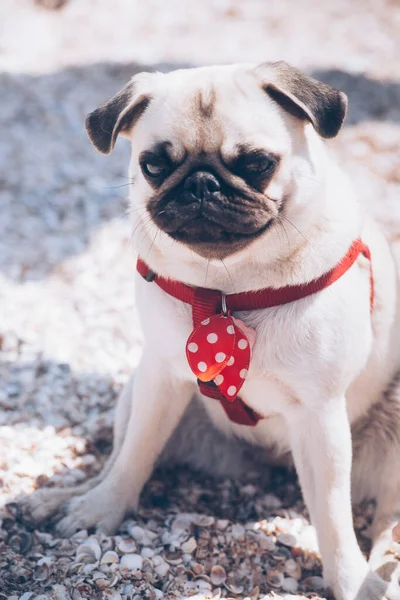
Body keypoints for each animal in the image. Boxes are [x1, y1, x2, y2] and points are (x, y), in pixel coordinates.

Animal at [24, 63, 400, 596]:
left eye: (258, 164)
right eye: (154, 166)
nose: (201, 184)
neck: (228, 290)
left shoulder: (321, 413)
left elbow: (330, 514)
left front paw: (349, 580)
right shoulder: (161, 378)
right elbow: (135, 454)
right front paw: (102, 509)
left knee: (388, 518)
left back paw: (383, 568)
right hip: (134, 390)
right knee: (116, 457)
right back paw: (68, 498)